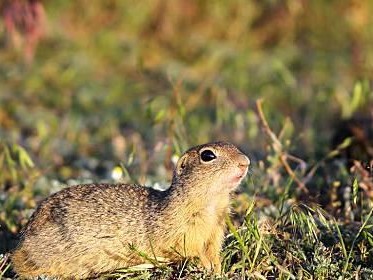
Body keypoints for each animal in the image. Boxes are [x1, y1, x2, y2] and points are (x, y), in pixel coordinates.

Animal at [11, 142, 250, 278]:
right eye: (208, 156)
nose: (246, 162)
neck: (211, 203)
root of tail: (21, 244)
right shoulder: (182, 231)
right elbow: (189, 250)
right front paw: (207, 267)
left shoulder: (215, 231)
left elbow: (212, 251)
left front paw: (218, 269)